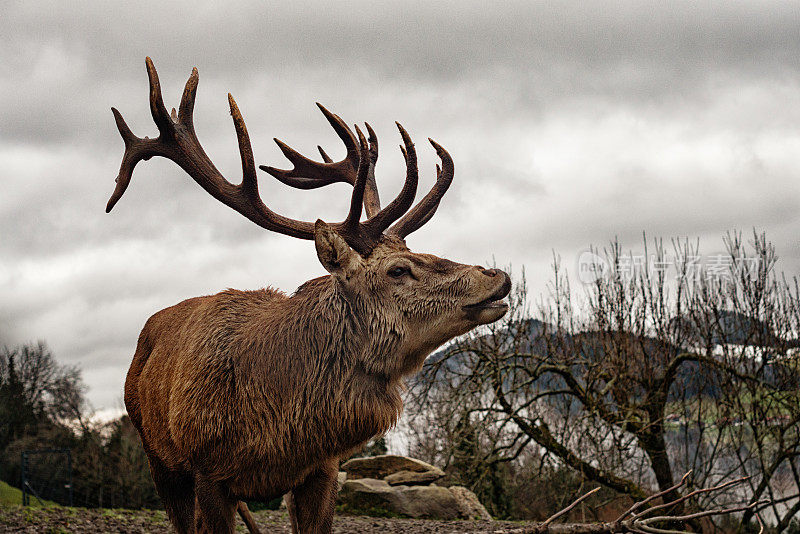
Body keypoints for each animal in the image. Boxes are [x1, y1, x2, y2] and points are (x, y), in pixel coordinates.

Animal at [111, 58, 512, 534]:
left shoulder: (323, 469)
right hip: (160, 461)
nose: (497, 275)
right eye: (398, 270)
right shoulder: (206, 471)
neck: (277, 429)